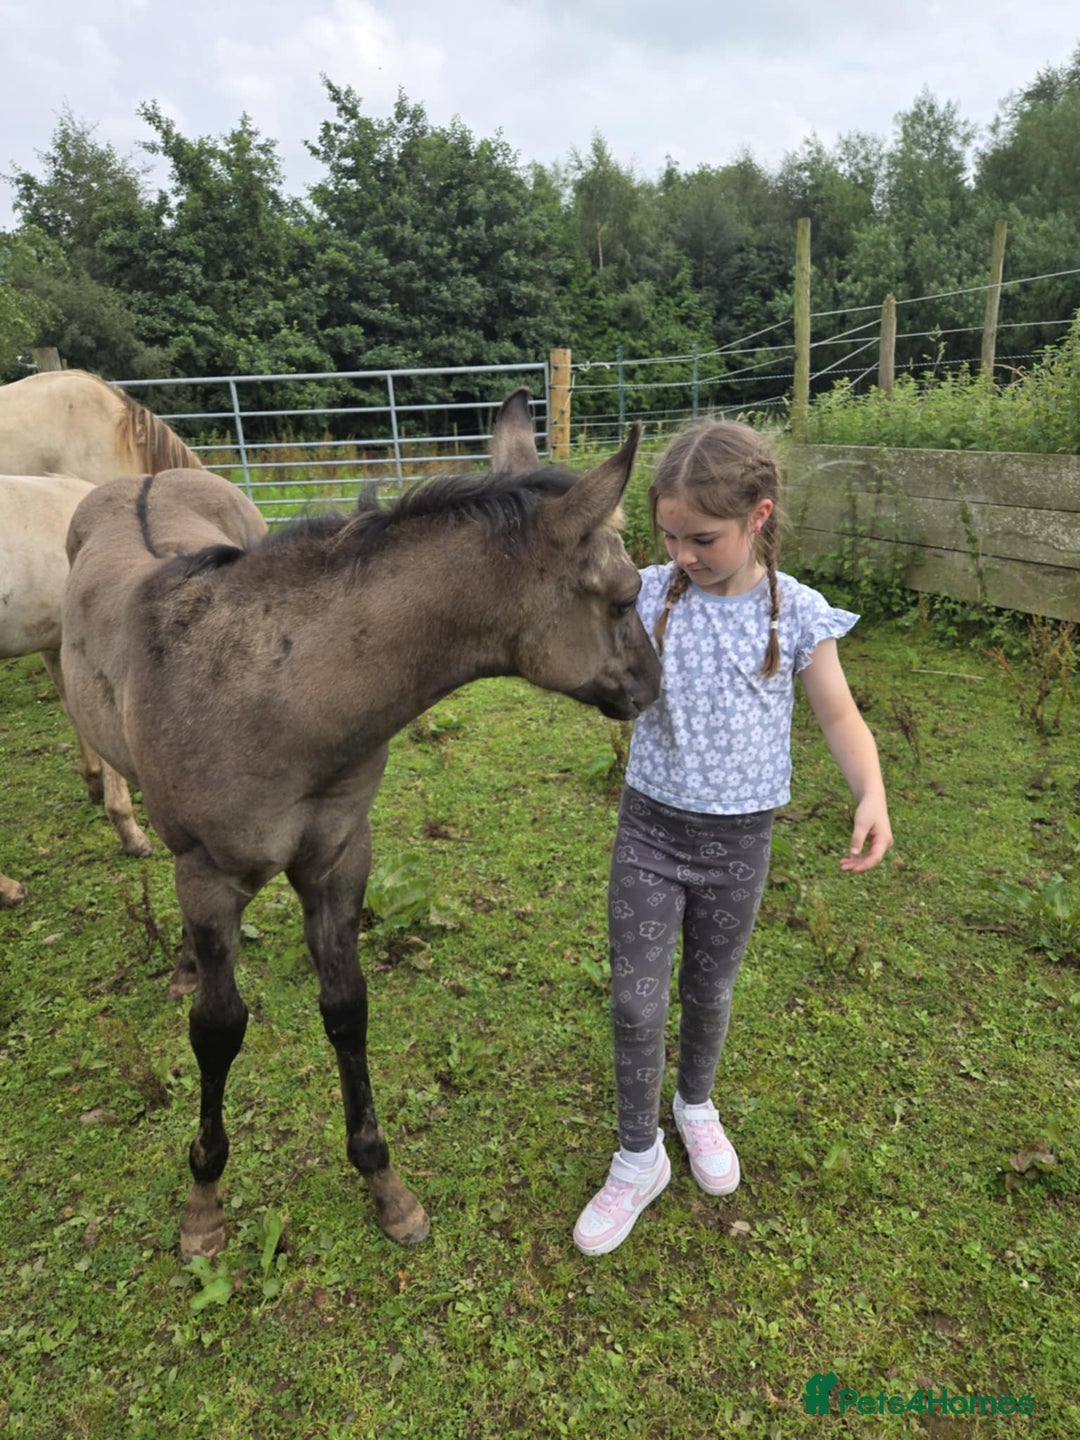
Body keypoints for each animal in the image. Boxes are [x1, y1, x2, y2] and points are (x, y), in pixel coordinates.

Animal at [60, 389, 662, 1260]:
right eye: (622, 595)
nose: (652, 686)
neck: (277, 699)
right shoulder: (208, 877)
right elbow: (217, 1028)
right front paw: (204, 1200)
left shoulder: (339, 856)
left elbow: (346, 1009)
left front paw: (386, 1186)